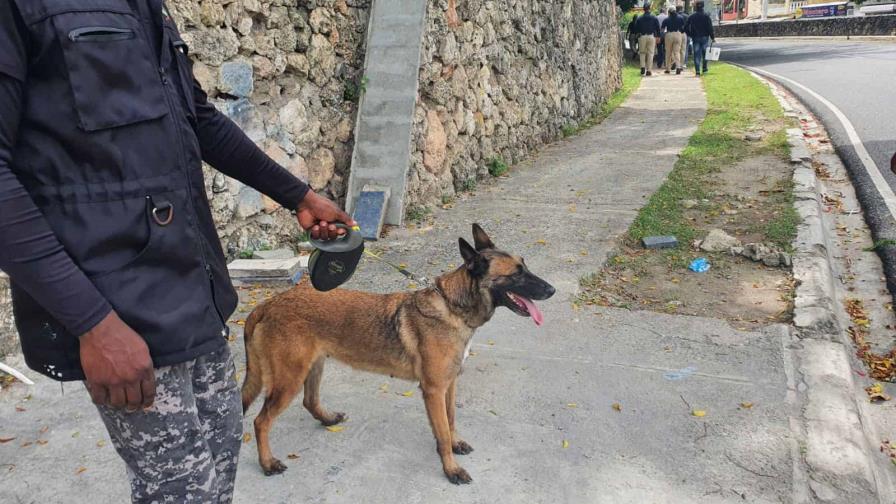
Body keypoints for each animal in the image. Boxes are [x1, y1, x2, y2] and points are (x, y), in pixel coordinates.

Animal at [242, 224, 556, 484]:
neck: (453, 307)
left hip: (312, 367)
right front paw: (451, 469)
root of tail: (268, 304)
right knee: (260, 421)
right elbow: (442, 432)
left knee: (309, 401)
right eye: (516, 273)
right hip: (289, 379)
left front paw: (456, 445)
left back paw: (327, 419)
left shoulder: (450, 385)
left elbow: (451, 419)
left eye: (525, 266)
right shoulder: (433, 390)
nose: (552, 290)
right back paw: (267, 463)